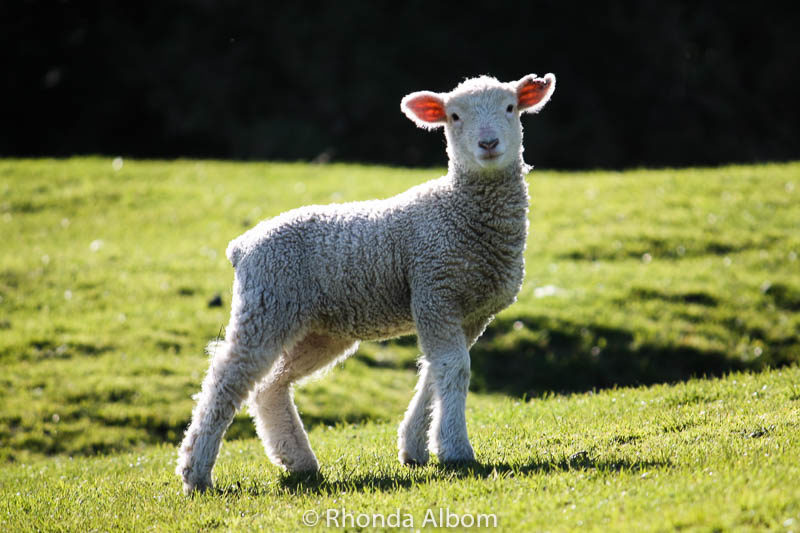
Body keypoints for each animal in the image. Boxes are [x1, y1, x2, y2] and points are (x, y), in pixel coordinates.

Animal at [176, 72, 556, 492]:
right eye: (454, 116)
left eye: (510, 107)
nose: (488, 144)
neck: (459, 211)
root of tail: (242, 246)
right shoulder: (434, 290)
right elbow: (454, 369)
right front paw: (456, 449)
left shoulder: (470, 313)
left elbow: (435, 372)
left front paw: (415, 448)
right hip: (266, 305)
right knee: (226, 380)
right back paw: (196, 473)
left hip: (319, 330)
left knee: (269, 386)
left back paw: (298, 460)